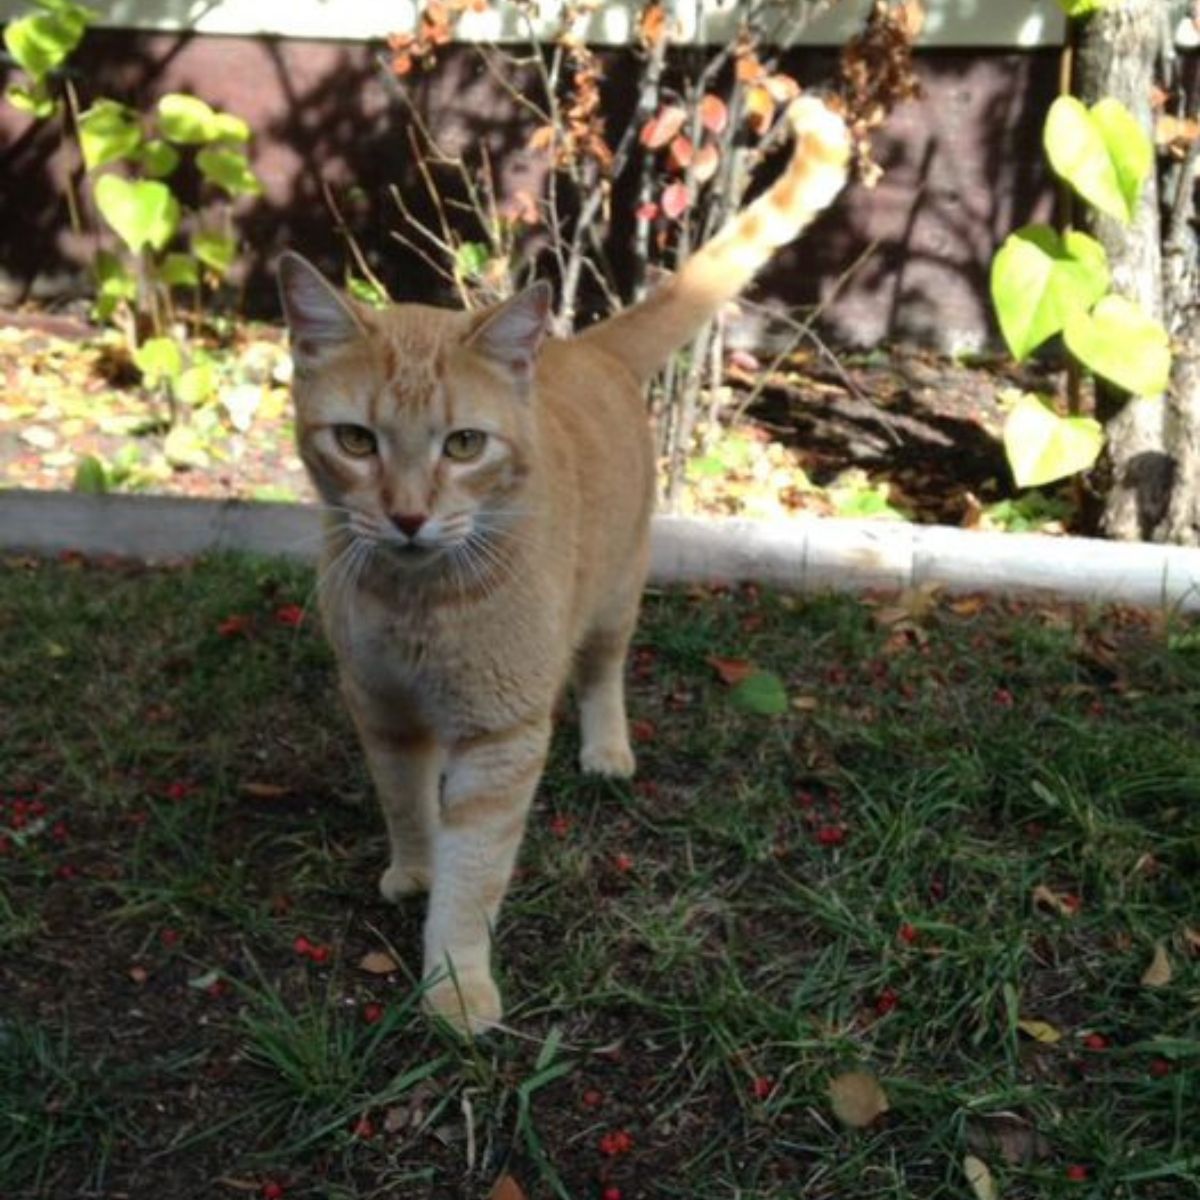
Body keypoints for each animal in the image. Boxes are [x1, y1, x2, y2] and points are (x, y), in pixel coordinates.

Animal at [276, 96, 849, 1032]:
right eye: (356, 441)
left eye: (463, 444)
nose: (407, 516)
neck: (417, 601)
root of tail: (588, 348)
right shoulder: (383, 709)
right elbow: (408, 805)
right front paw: (416, 869)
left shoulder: (501, 738)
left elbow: (473, 873)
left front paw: (456, 982)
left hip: (617, 595)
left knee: (602, 670)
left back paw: (607, 746)